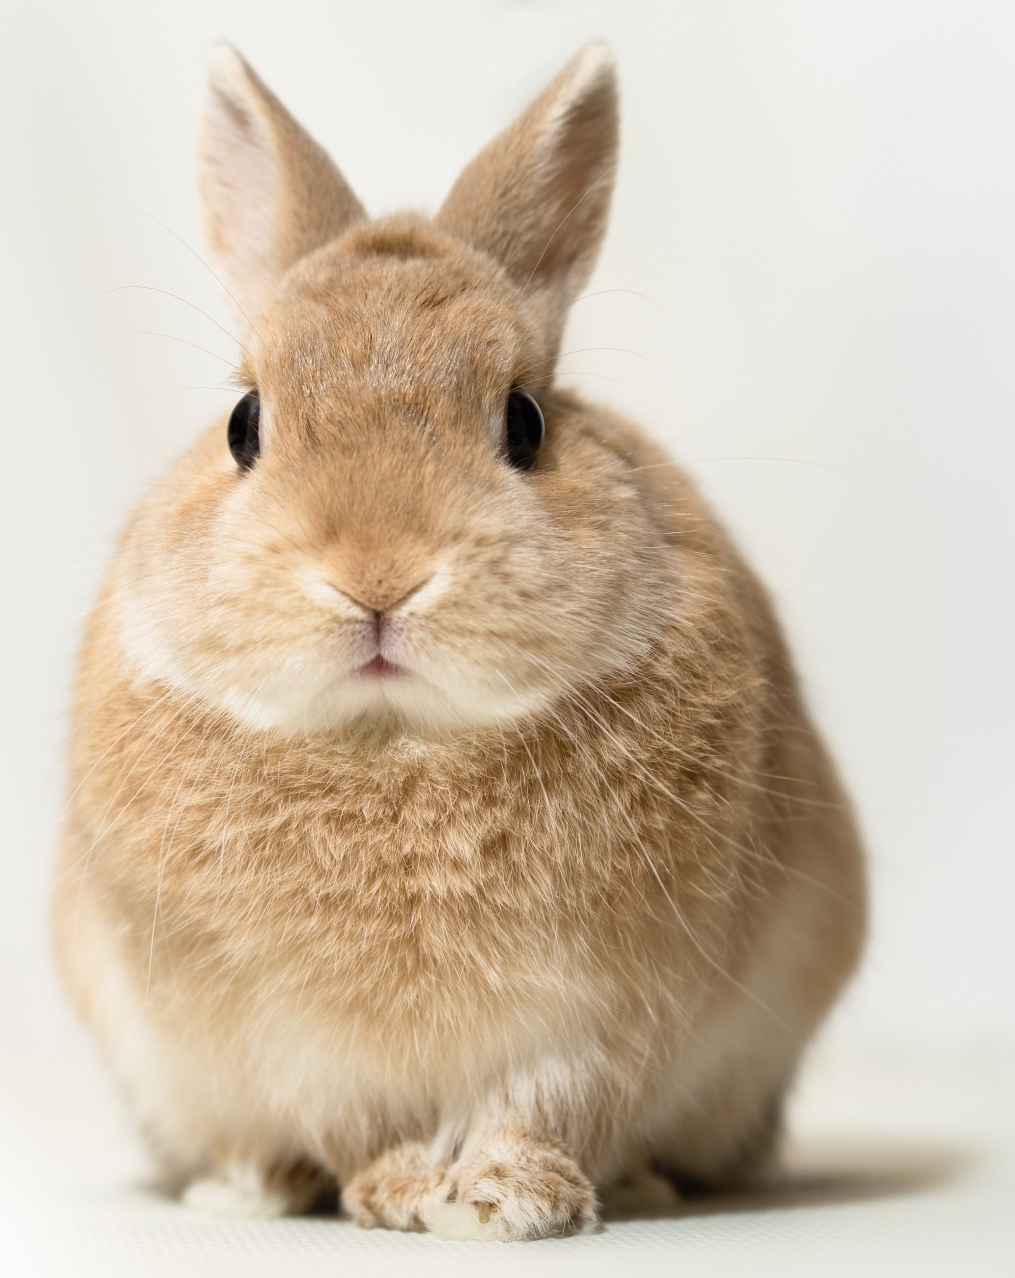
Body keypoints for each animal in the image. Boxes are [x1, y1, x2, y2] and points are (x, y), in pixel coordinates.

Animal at [53, 39, 864, 1237]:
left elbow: (546, 1102)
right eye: (246, 425)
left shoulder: (602, 1016)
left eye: (524, 422)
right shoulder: (292, 1042)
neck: (396, 740)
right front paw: (400, 1195)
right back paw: (249, 1189)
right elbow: (356, 1123)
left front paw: (509, 1202)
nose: (375, 576)